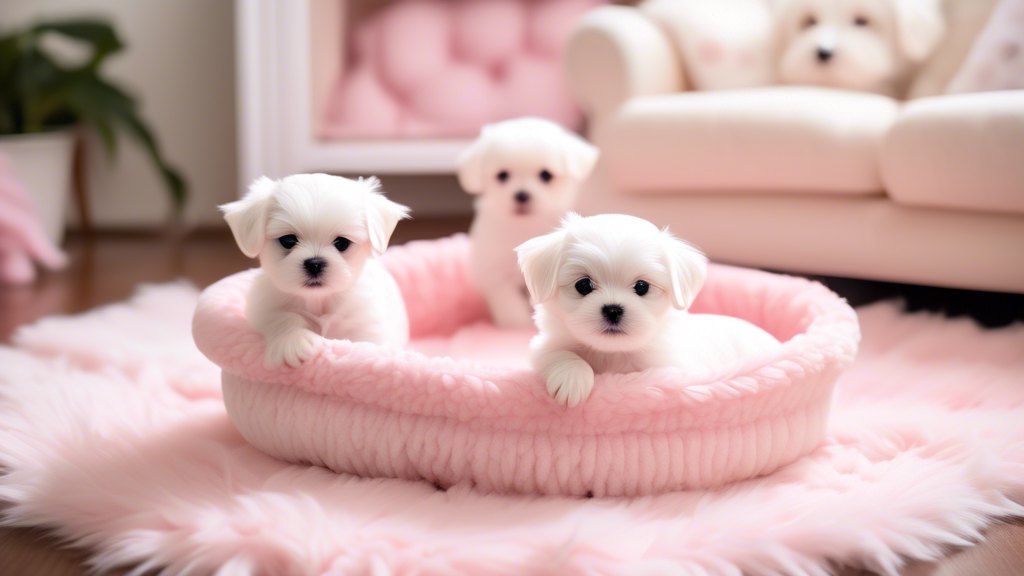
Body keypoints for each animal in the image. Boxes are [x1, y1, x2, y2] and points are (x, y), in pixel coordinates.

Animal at [223, 172, 411, 364]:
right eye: (288, 240)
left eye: (342, 243)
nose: (314, 264)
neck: (318, 300)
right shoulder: (266, 308)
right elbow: (284, 317)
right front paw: (295, 342)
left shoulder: (364, 321)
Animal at [458, 116, 598, 327]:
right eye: (502, 175)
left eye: (546, 175)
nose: (522, 195)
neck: (526, 225)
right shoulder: (495, 272)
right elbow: (508, 302)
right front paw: (516, 324)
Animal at [516, 213, 778, 405]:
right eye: (583, 285)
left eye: (642, 287)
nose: (613, 310)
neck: (613, 353)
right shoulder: (545, 345)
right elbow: (559, 354)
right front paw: (573, 379)